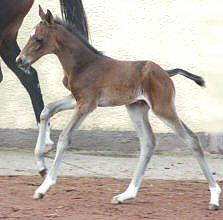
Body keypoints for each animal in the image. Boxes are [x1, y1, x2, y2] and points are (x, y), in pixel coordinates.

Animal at [16, 6, 221, 210]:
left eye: (39, 39)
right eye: (30, 35)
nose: (20, 60)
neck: (83, 64)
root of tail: (166, 72)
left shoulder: (87, 104)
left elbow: (65, 137)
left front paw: (44, 187)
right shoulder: (76, 99)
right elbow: (46, 110)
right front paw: (41, 163)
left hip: (163, 107)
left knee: (191, 139)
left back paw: (214, 197)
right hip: (137, 108)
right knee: (148, 143)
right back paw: (126, 195)